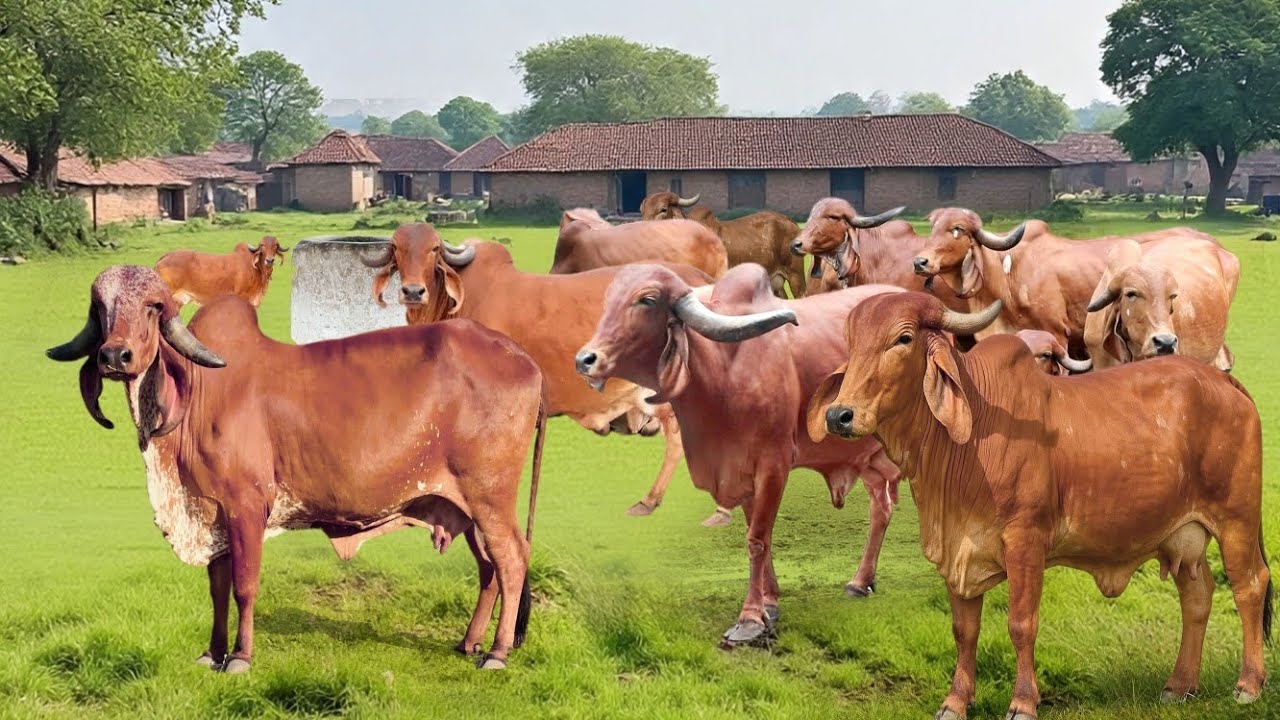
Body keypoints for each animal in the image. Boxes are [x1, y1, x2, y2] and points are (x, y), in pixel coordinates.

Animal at [47, 265, 547, 672]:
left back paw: (498, 652)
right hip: (463, 508)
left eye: (153, 308)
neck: (196, 394)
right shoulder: (213, 513)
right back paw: (469, 642)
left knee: (512, 559)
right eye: (101, 307)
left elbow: (245, 586)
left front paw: (240, 657)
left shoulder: (247, 506)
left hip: (490, 497)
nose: (115, 356)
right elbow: (217, 589)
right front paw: (213, 652)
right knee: (489, 570)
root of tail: (525, 359)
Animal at [360, 223, 732, 525]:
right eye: (396, 248)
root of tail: (705, 282)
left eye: (435, 249)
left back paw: (662, 501)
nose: (412, 291)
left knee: (679, 438)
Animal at [575, 262, 906, 647]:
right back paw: (861, 580)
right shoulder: (741, 471)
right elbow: (759, 535)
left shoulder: (774, 465)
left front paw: (749, 619)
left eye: (647, 300)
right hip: (869, 458)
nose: (585, 360)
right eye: (608, 298)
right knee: (881, 507)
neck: (724, 370)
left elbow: (758, 540)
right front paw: (770, 604)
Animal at [806, 291, 1271, 718]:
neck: (968, 440)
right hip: (1183, 537)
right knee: (1197, 595)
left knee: (1250, 586)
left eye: (902, 338)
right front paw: (956, 701)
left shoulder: (1025, 542)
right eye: (851, 341)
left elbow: (1021, 624)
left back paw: (1248, 685)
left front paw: (1024, 702)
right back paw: (1179, 685)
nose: (839, 415)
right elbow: (963, 630)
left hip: (1236, 519)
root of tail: (1224, 381)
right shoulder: (958, 550)